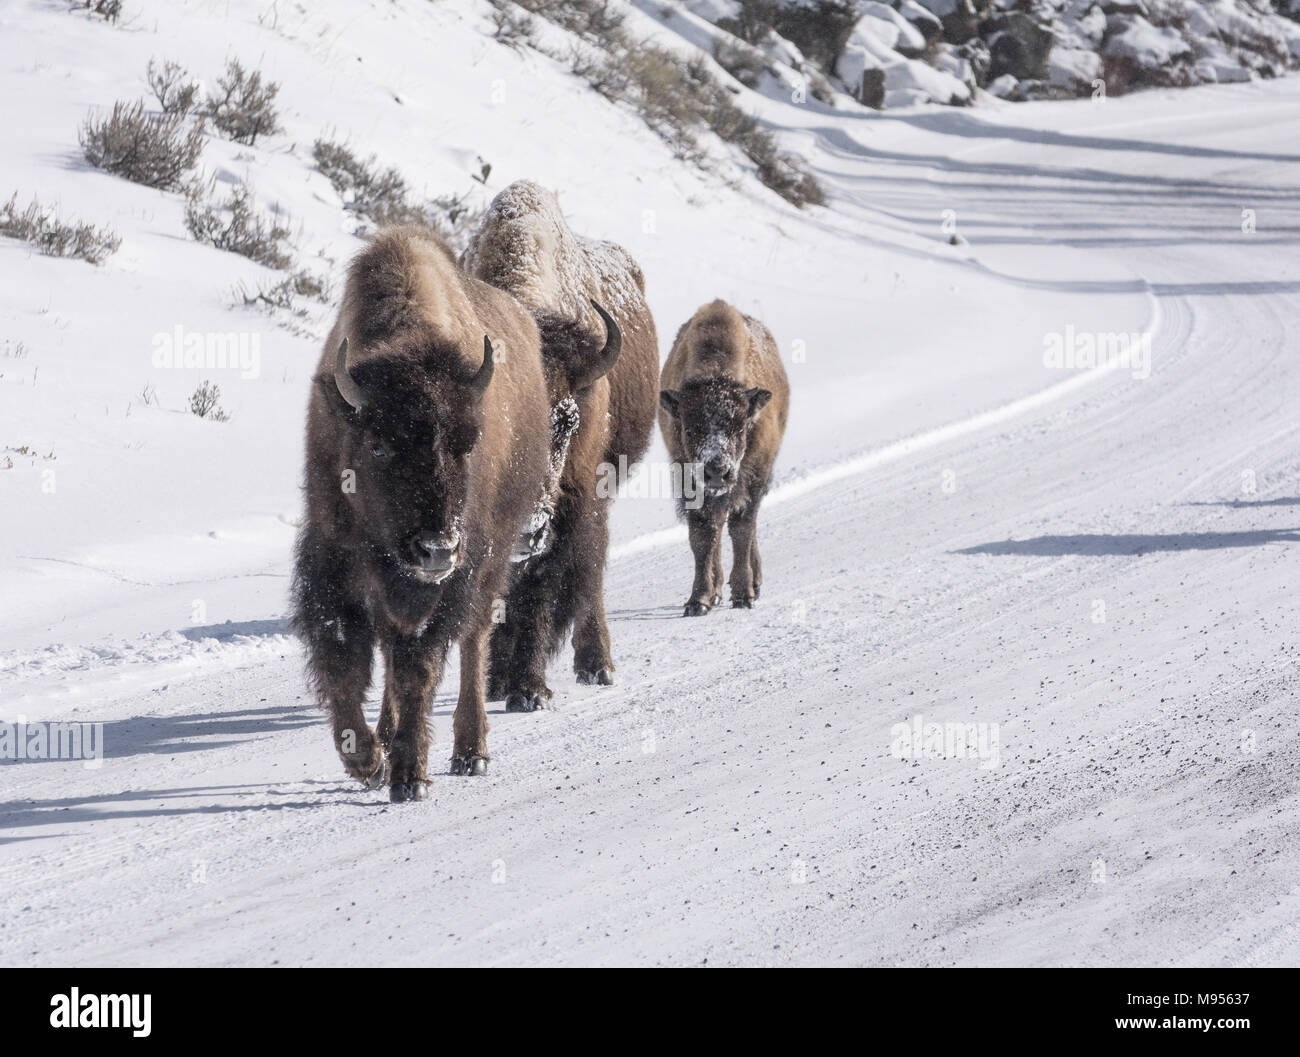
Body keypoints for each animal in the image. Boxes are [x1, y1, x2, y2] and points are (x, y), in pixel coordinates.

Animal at [292, 224, 551, 800]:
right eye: (379, 445)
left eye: (467, 444)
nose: (435, 549)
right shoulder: (335, 559)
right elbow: (345, 661)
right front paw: (368, 760)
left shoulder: (451, 583)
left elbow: (420, 668)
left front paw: (409, 776)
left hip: (491, 560)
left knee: (474, 642)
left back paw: (470, 752)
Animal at [460, 182, 660, 707]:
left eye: (567, 421)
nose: (529, 529)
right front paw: (498, 679)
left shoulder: (573, 502)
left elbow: (543, 588)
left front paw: (530, 691)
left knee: (590, 573)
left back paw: (597, 665)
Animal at [655, 296, 785, 613]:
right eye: (689, 428)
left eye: (741, 426)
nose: (716, 471)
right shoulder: (689, 482)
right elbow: (703, 536)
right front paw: (698, 600)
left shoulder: (753, 477)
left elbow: (741, 531)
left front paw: (743, 595)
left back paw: (754, 584)